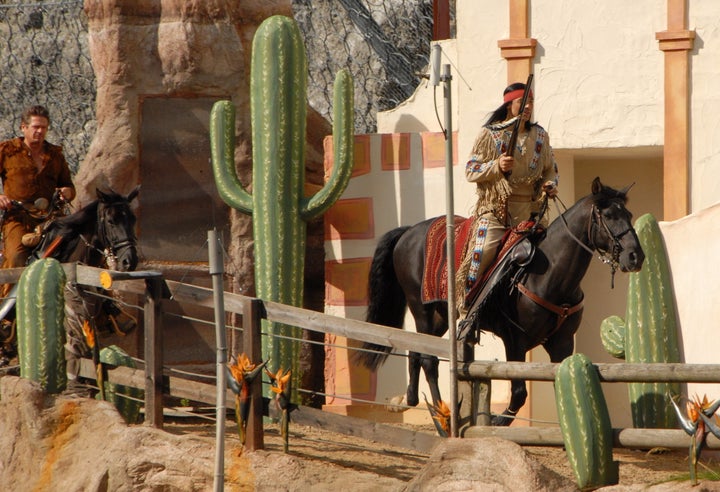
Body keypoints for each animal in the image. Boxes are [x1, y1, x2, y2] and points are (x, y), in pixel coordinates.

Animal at [358, 178, 644, 426]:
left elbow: (560, 382)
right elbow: (518, 392)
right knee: (429, 360)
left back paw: (412, 400)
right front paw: (497, 421)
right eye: (609, 216)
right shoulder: (515, 339)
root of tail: (408, 232)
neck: (549, 275)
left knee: (416, 351)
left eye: (629, 215)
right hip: (423, 310)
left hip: (439, 317)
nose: (635, 256)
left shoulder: (562, 342)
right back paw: (443, 415)